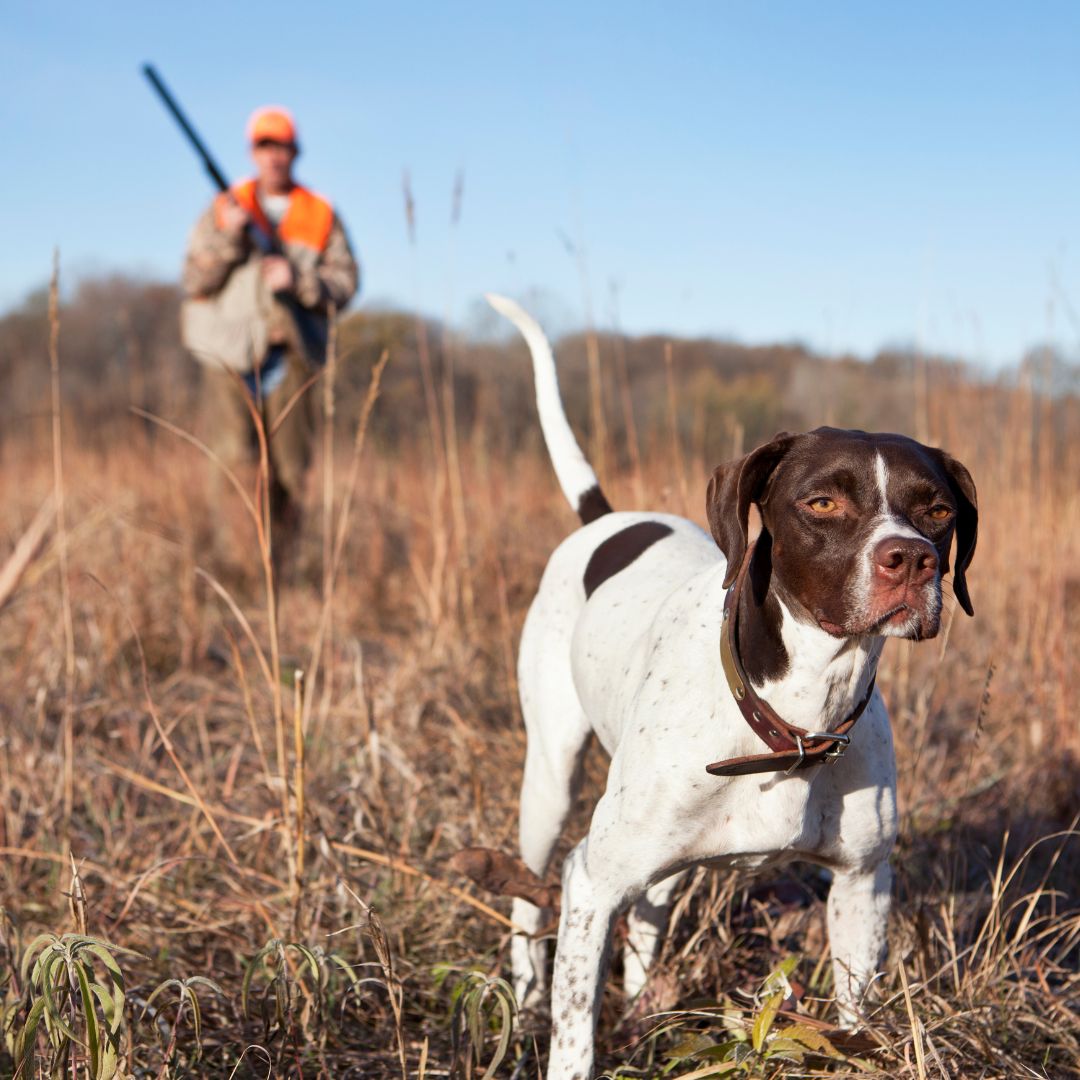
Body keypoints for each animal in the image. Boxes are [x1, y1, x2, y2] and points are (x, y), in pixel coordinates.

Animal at [486, 295, 976, 1080]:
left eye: (936, 510)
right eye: (822, 503)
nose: (912, 560)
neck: (792, 717)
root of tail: (607, 516)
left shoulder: (862, 886)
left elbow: (854, 1015)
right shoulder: (590, 882)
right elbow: (575, 1034)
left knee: (649, 913)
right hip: (551, 782)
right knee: (530, 901)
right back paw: (529, 998)